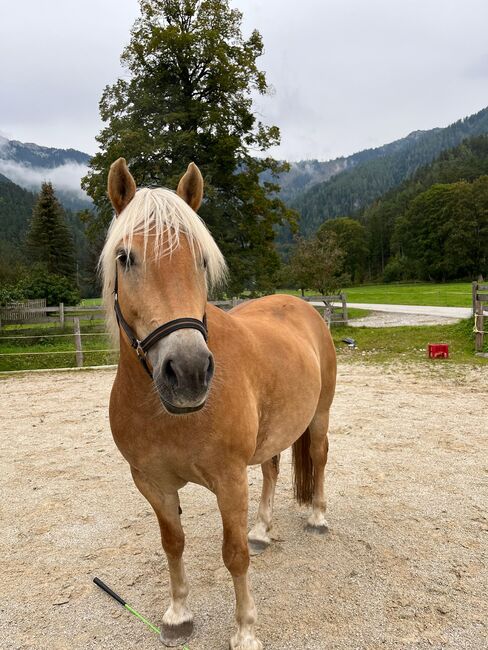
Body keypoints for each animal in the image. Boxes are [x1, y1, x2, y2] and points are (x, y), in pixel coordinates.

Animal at [99, 158, 336, 648]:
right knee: (272, 469)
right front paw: (177, 614)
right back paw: (263, 528)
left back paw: (318, 518)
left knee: (320, 458)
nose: (189, 371)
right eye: (125, 257)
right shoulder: (152, 483)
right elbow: (173, 543)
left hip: (319, 416)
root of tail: (303, 306)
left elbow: (234, 554)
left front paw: (245, 630)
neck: (166, 414)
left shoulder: (229, 479)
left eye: (201, 260)